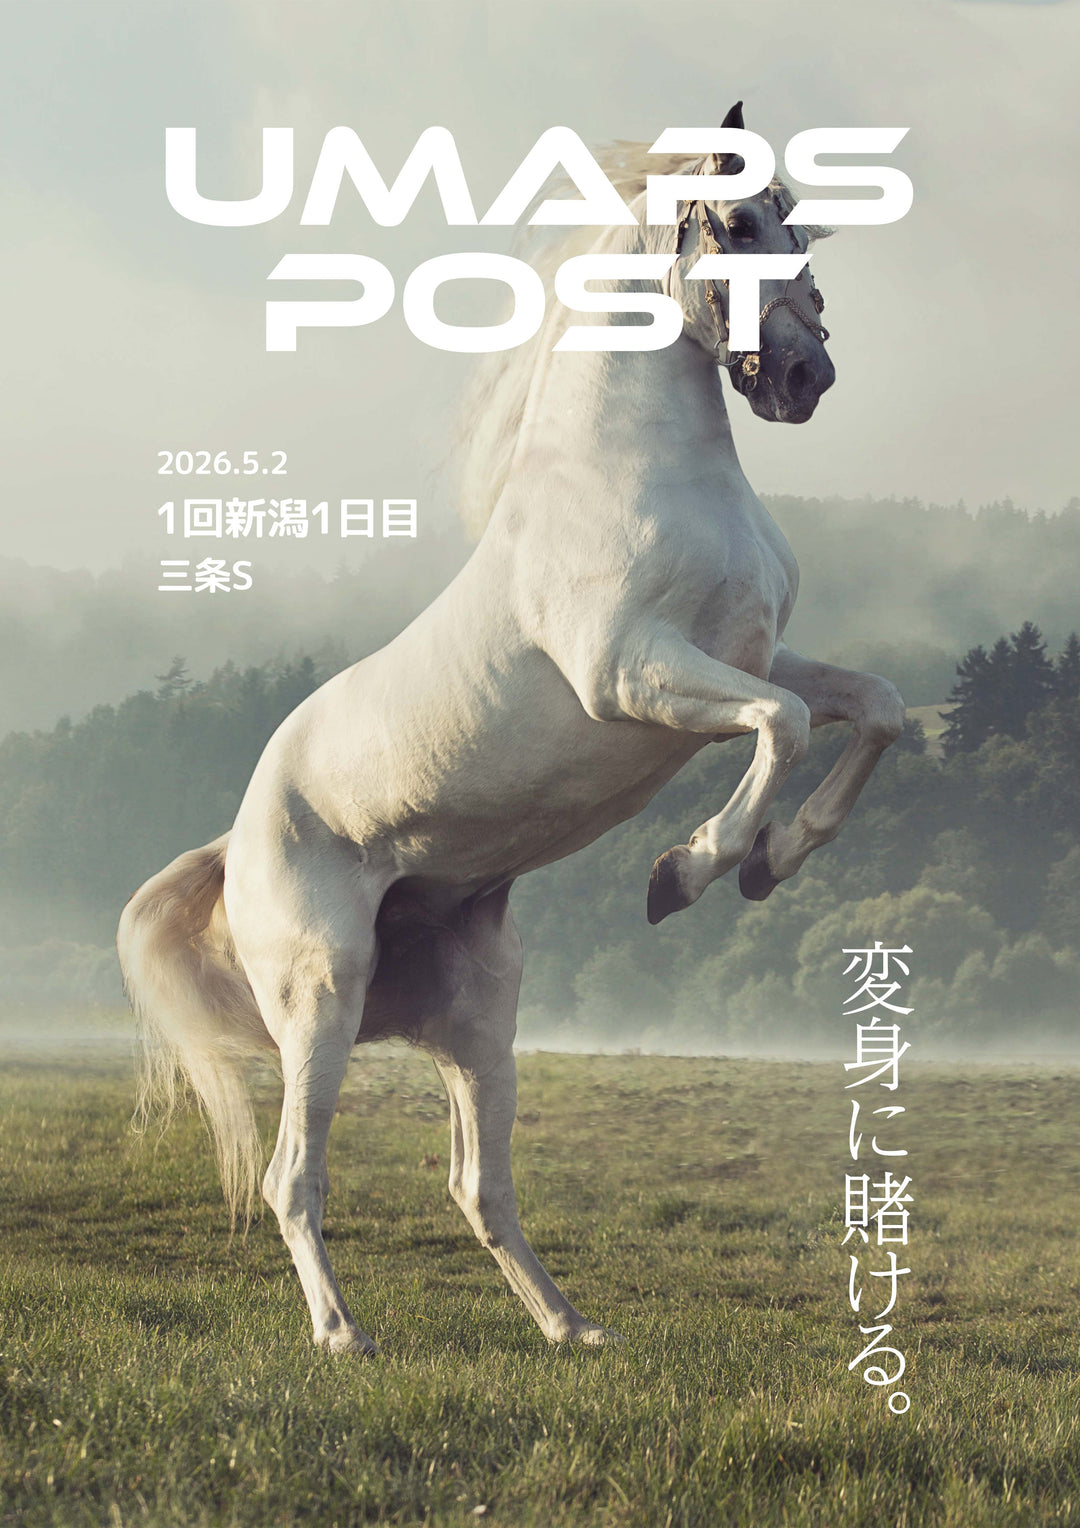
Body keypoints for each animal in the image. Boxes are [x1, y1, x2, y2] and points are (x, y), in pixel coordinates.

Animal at [118, 103, 905, 1355]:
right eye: (735, 226)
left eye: (802, 228)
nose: (803, 375)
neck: (635, 473)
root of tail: (235, 840)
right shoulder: (636, 676)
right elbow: (782, 728)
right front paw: (691, 869)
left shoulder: (745, 659)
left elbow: (872, 708)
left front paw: (772, 862)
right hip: (321, 998)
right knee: (296, 1175)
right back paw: (344, 1334)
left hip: (479, 1016)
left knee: (477, 1185)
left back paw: (572, 1327)